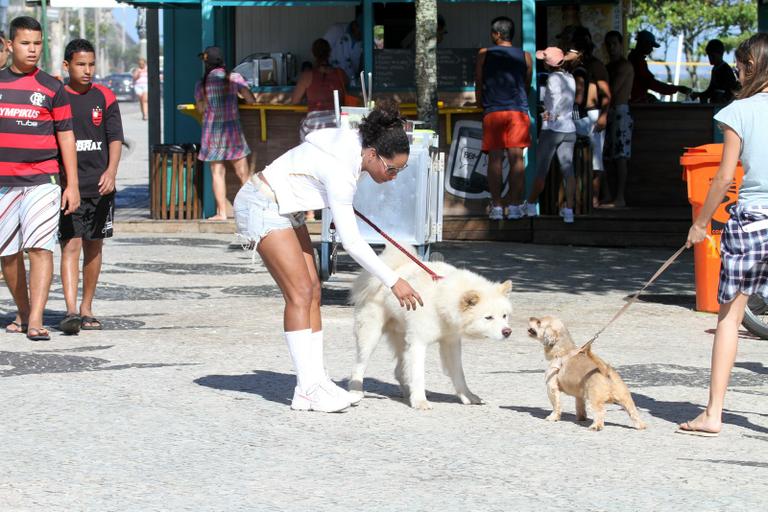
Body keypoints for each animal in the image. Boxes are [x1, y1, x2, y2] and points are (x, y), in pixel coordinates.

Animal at [352, 246, 512, 410]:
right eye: (488, 317)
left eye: (504, 316)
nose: (507, 332)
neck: (440, 300)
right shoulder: (418, 343)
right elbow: (418, 375)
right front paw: (419, 401)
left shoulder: (451, 343)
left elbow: (459, 373)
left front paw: (467, 396)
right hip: (371, 335)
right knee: (359, 365)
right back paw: (356, 392)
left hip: (403, 339)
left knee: (399, 371)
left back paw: (407, 391)